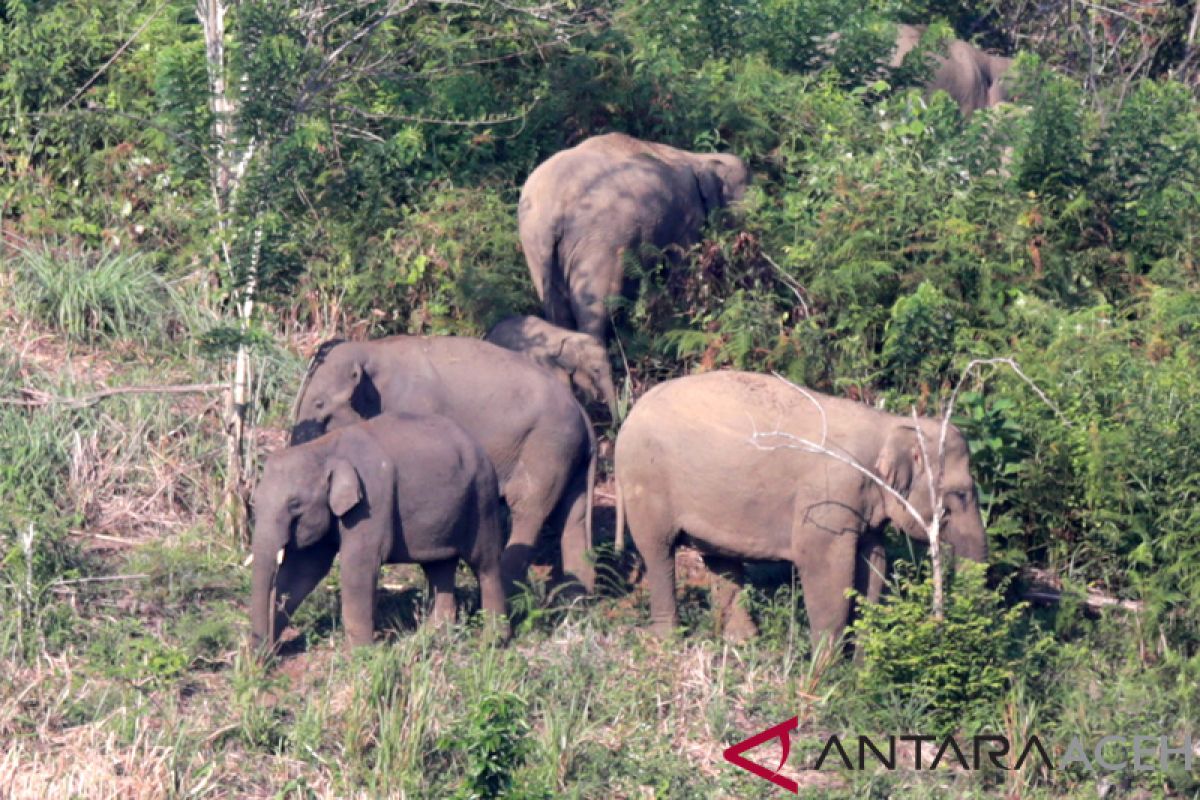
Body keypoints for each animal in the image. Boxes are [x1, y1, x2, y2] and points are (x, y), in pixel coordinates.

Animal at [250, 412, 504, 652]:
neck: (324, 448)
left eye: (294, 504)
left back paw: (492, 641)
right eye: (255, 502)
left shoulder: (371, 501)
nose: (263, 656)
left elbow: (358, 566)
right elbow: (304, 569)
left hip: (482, 498)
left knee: (485, 564)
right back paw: (432, 636)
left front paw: (361, 654)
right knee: (439, 567)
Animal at [291, 335, 600, 592]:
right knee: (572, 517)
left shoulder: (415, 406)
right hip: (569, 456)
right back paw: (576, 597)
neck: (372, 349)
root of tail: (585, 416)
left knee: (527, 509)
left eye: (319, 404)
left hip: (547, 447)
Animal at [518, 130, 748, 340]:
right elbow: (682, 267)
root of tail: (555, 207)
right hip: (598, 243)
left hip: (535, 245)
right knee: (596, 308)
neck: (699, 158)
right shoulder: (688, 219)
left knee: (557, 310)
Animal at [614, 371, 988, 647]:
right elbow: (825, 568)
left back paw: (742, 641)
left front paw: (860, 665)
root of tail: (628, 416)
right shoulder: (827, 497)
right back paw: (668, 640)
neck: (888, 425)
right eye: (960, 495)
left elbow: (873, 564)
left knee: (720, 559)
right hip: (645, 483)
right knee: (658, 552)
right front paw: (824, 674)